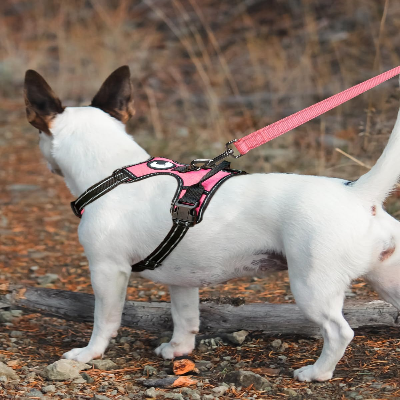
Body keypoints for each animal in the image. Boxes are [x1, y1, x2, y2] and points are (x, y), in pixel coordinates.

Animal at [24, 65, 400, 382]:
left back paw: (317, 372)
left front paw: (88, 354)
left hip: (312, 287)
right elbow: (185, 318)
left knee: (339, 331)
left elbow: (105, 319)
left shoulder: (107, 271)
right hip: (387, 281)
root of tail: (358, 194)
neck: (115, 172)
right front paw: (179, 350)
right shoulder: (182, 280)